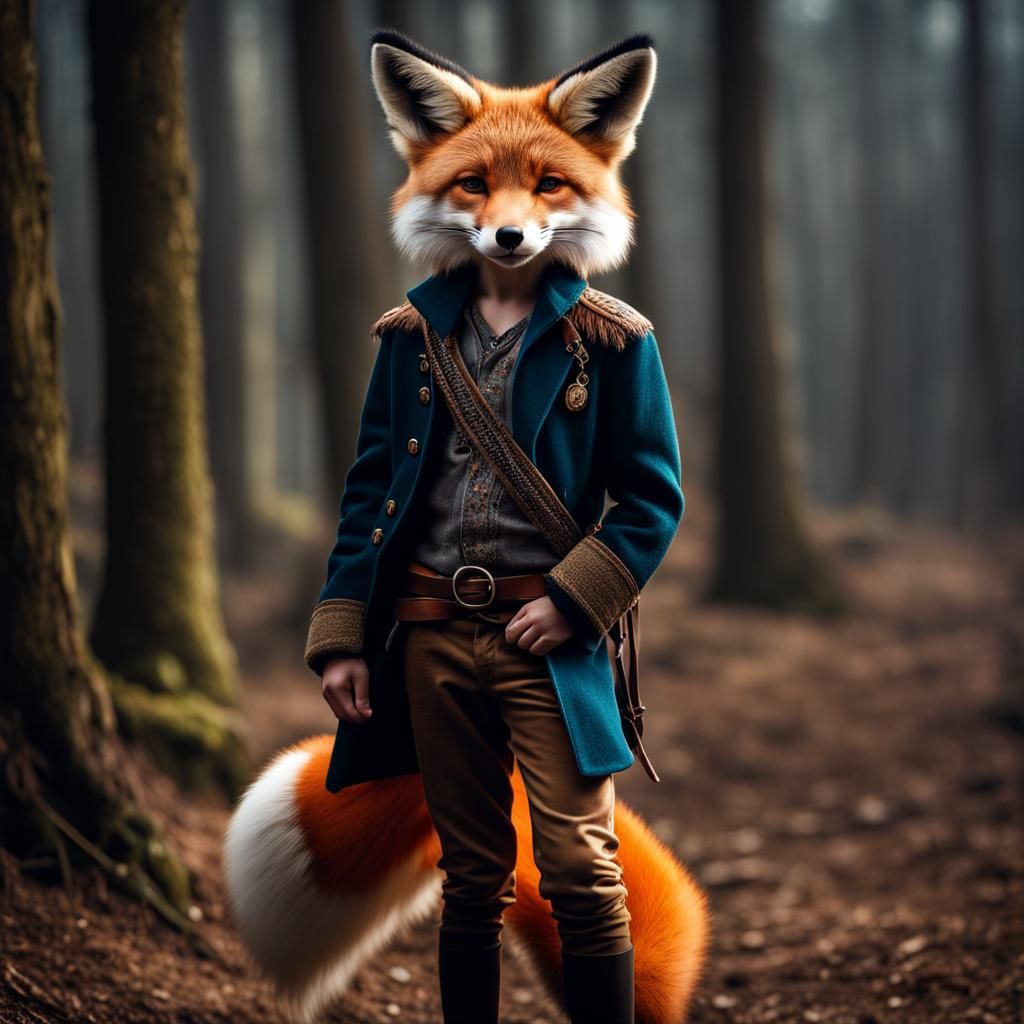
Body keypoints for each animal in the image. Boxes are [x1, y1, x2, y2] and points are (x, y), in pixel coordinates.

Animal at [223, 29, 709, 1024]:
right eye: (475, 185)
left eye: (550, 185)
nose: (511, 238)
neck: (506, 309)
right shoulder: (384, 420)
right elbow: (369, 489)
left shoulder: (641, 398)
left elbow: (650, 492)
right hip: (442, 728)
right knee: (475, 884)